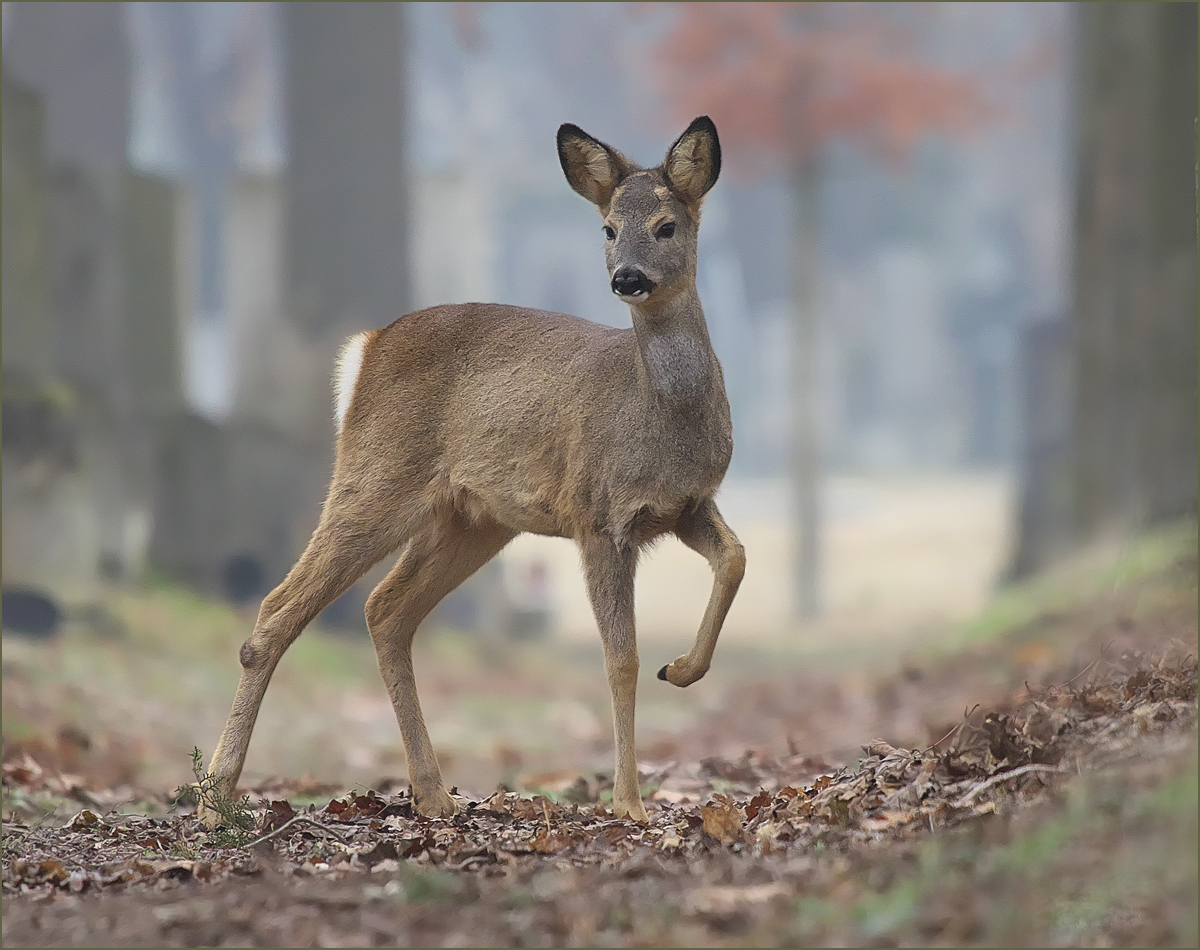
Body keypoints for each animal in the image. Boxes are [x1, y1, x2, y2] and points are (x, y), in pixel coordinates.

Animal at [201, 113, 744, 825]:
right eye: (606, 228)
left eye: (667, 226)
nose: (627, 277)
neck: (660, 412)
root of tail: (365, 350)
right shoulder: (597, 512)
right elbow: (620, 658)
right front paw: (628, 802)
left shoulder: (688, 504)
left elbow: (734, 559)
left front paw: (682, 669)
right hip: (376, 476)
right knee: (277, 607)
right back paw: (215, 796)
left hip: (474, 518)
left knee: (385, 609)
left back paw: (433, 794)